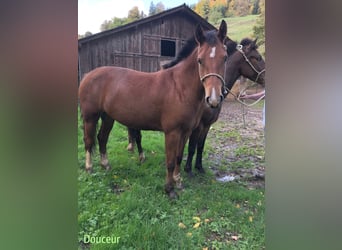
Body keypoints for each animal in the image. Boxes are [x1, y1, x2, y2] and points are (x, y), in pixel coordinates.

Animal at [79, 20, 228, 198]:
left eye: (225, 58)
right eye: (200, 60)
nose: (214, 99)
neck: (180, 88)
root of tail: (87, 75)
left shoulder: (185, 132)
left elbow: (179, 157)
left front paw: (178, 182)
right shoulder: (172, 132)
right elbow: (170, 161)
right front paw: (169, 189)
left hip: (108, 116)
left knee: (102, 138)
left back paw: (105, 165)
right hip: (90, 117)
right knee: (88, 141)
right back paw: (89, 168)